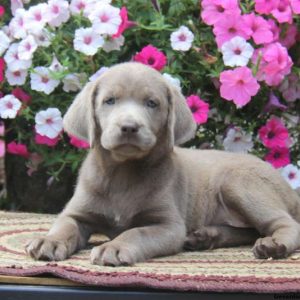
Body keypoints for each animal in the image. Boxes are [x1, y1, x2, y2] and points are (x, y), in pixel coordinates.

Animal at [25, 62, 300, 264]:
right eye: (109, 101)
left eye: (152, 103)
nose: (129, 127)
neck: (123, 173)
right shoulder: (76, 212)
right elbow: (65, 226)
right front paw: (48, 241)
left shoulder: (168, 225)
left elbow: (137, 231)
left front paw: (114, 246)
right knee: (251, 230)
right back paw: (206, 236)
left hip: (239, 183)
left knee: (283, 224)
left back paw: (273, 245)